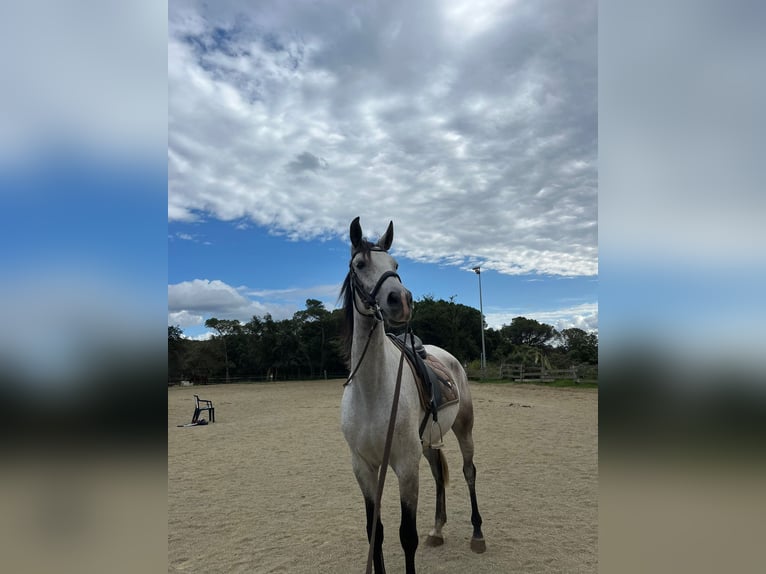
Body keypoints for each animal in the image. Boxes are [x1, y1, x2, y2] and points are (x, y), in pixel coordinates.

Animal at [340, 217, 486, 574]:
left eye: (395, 265)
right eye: (360, 264)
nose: (401, 300)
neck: (372, 391)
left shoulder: (405, 465)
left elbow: (407, 536)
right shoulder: (364, 467)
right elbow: (374, 532)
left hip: (464, 429)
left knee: (469, 472)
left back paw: (478, 534)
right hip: (429, 442)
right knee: (438, 475)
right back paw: (438, 529)